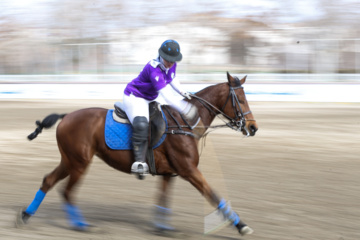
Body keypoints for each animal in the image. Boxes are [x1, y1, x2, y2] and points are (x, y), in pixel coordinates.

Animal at [16, 71, 258, 236]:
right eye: (240, 99)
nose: (253, 127)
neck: (184, 123)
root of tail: (66, 116)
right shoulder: (189, 170)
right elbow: (214, 195)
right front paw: (242, 226)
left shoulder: (169, 173)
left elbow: (162, 198)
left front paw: (162, 227)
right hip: (79, 163)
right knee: (67, 191)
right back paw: (80, 224)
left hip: (70, 161)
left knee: (48, 181)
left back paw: (26, 215)